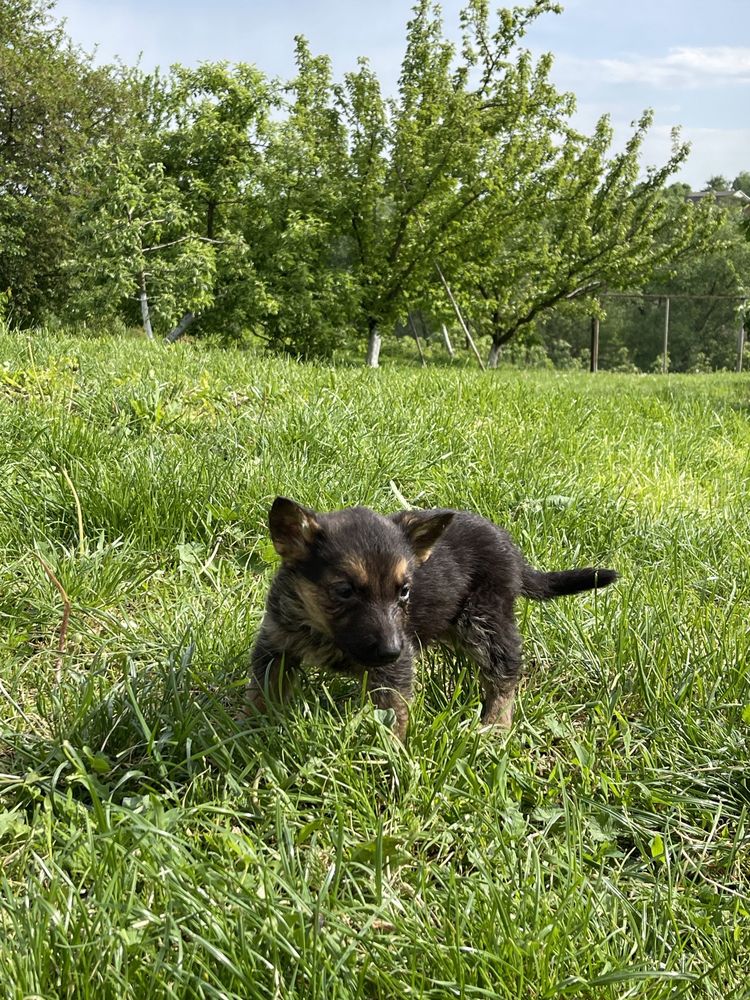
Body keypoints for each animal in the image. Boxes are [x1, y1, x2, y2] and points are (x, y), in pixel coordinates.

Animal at [247, 500, 616, 744]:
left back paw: (495, 726)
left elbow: (394, 716)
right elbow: (263, 692)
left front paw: (389, 757)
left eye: (405, 591)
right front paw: (253, 731)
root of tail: (512, 551)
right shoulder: (276, 644)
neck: (323, 631)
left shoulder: (394, 671)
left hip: (485, 619)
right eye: (344, 590)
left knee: (506, 671)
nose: (391, 651)